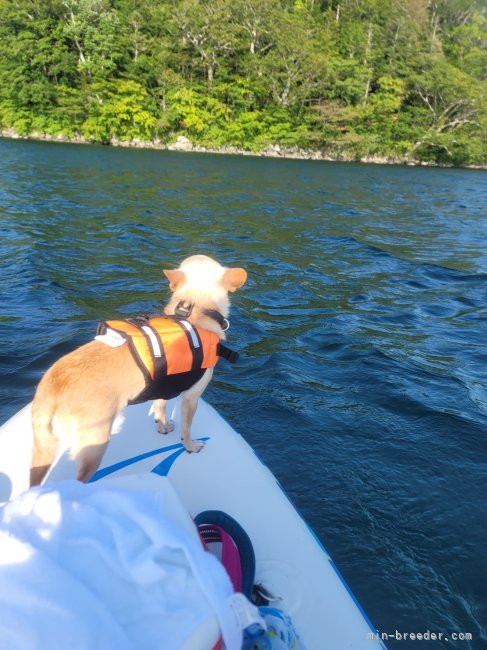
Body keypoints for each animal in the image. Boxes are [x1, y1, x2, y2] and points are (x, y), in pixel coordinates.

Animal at [29, 256, 248, 484]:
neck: (192, 309)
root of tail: (52, 390)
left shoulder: (162, 385)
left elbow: (160, 408)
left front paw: (162, 427)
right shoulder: (191, 398)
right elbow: (187, 429)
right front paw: (190, 446)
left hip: (43, 450)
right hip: (94, 443)